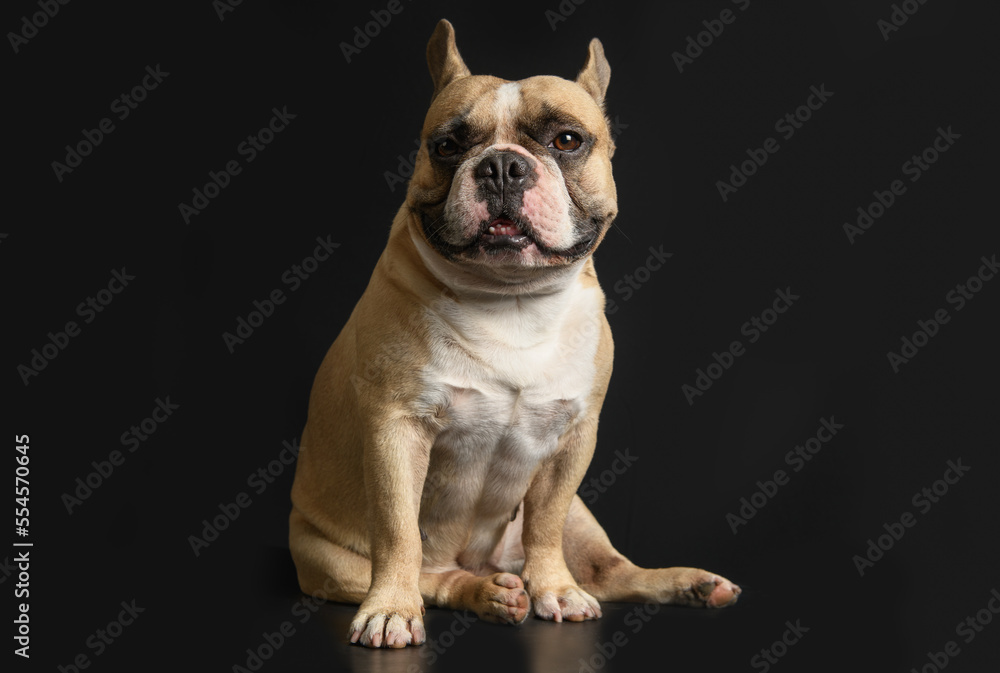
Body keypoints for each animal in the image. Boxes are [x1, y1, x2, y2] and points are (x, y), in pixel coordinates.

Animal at [286, 19, 740, 644]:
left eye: (567, 140)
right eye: (446, 146)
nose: (502, 165)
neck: (511, 301)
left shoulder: (573, 440)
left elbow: (544, 525)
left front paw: (555, 590)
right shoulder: (396, 429)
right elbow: (399, 531)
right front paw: (391, 610)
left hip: (583, 521)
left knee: (610, 571)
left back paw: (685, 583)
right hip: (329, 560)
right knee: (436, 576)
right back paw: (486, 594)